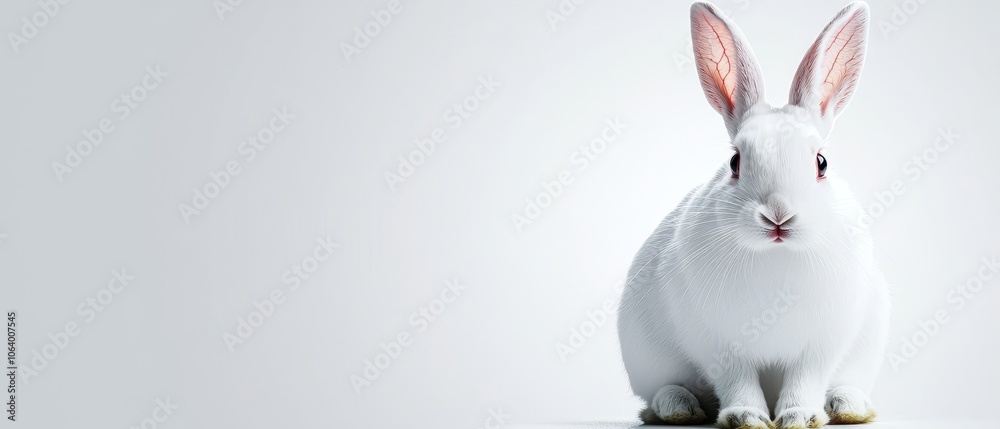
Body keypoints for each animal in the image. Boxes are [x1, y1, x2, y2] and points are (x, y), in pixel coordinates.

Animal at [616, 2, 889, 428]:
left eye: (822, 163)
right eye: (735, 162)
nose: (778, 216)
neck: (776, 256)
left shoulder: (820, 344)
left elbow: (805, 379)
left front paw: (799, 417)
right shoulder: (720, 342)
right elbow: (738, 380)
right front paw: (747, 417)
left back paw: (848, 406)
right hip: (648, 360)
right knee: (661, 390)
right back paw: (678, 407)